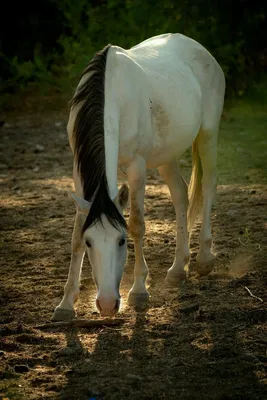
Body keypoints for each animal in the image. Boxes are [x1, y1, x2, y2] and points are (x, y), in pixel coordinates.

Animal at [52, 32, 226, 320]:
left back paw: (204, 258)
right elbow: (75, 233)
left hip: (208, 135)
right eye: (90, 242)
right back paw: (178, 268)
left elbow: (137, 224)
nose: (107, 304)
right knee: (180, 195)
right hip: (167, 155)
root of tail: (201, 50)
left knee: (209, 184)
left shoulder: (137, 167)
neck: (112, 96)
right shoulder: (78, 172)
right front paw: (66, 303)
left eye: (121, 241)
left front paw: (139, 291)